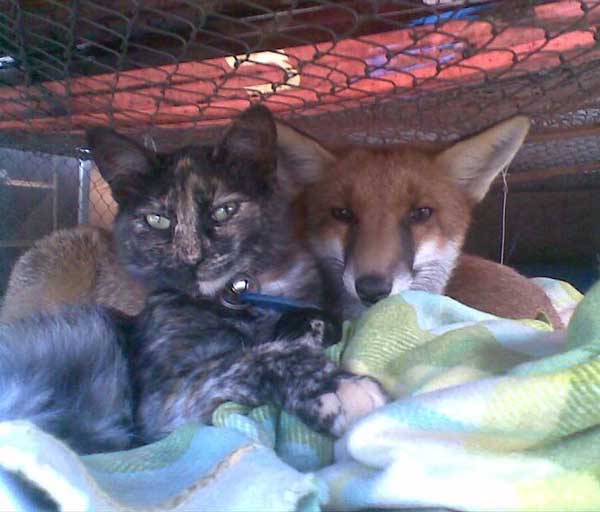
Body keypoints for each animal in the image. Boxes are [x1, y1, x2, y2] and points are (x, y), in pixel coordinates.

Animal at [0, 107, 384, 452]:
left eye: (224, 211)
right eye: (157, 219)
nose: (191, 258)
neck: (236, 299)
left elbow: (299, 329)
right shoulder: (165, 405)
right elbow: (247, 359)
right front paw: (334, 387)